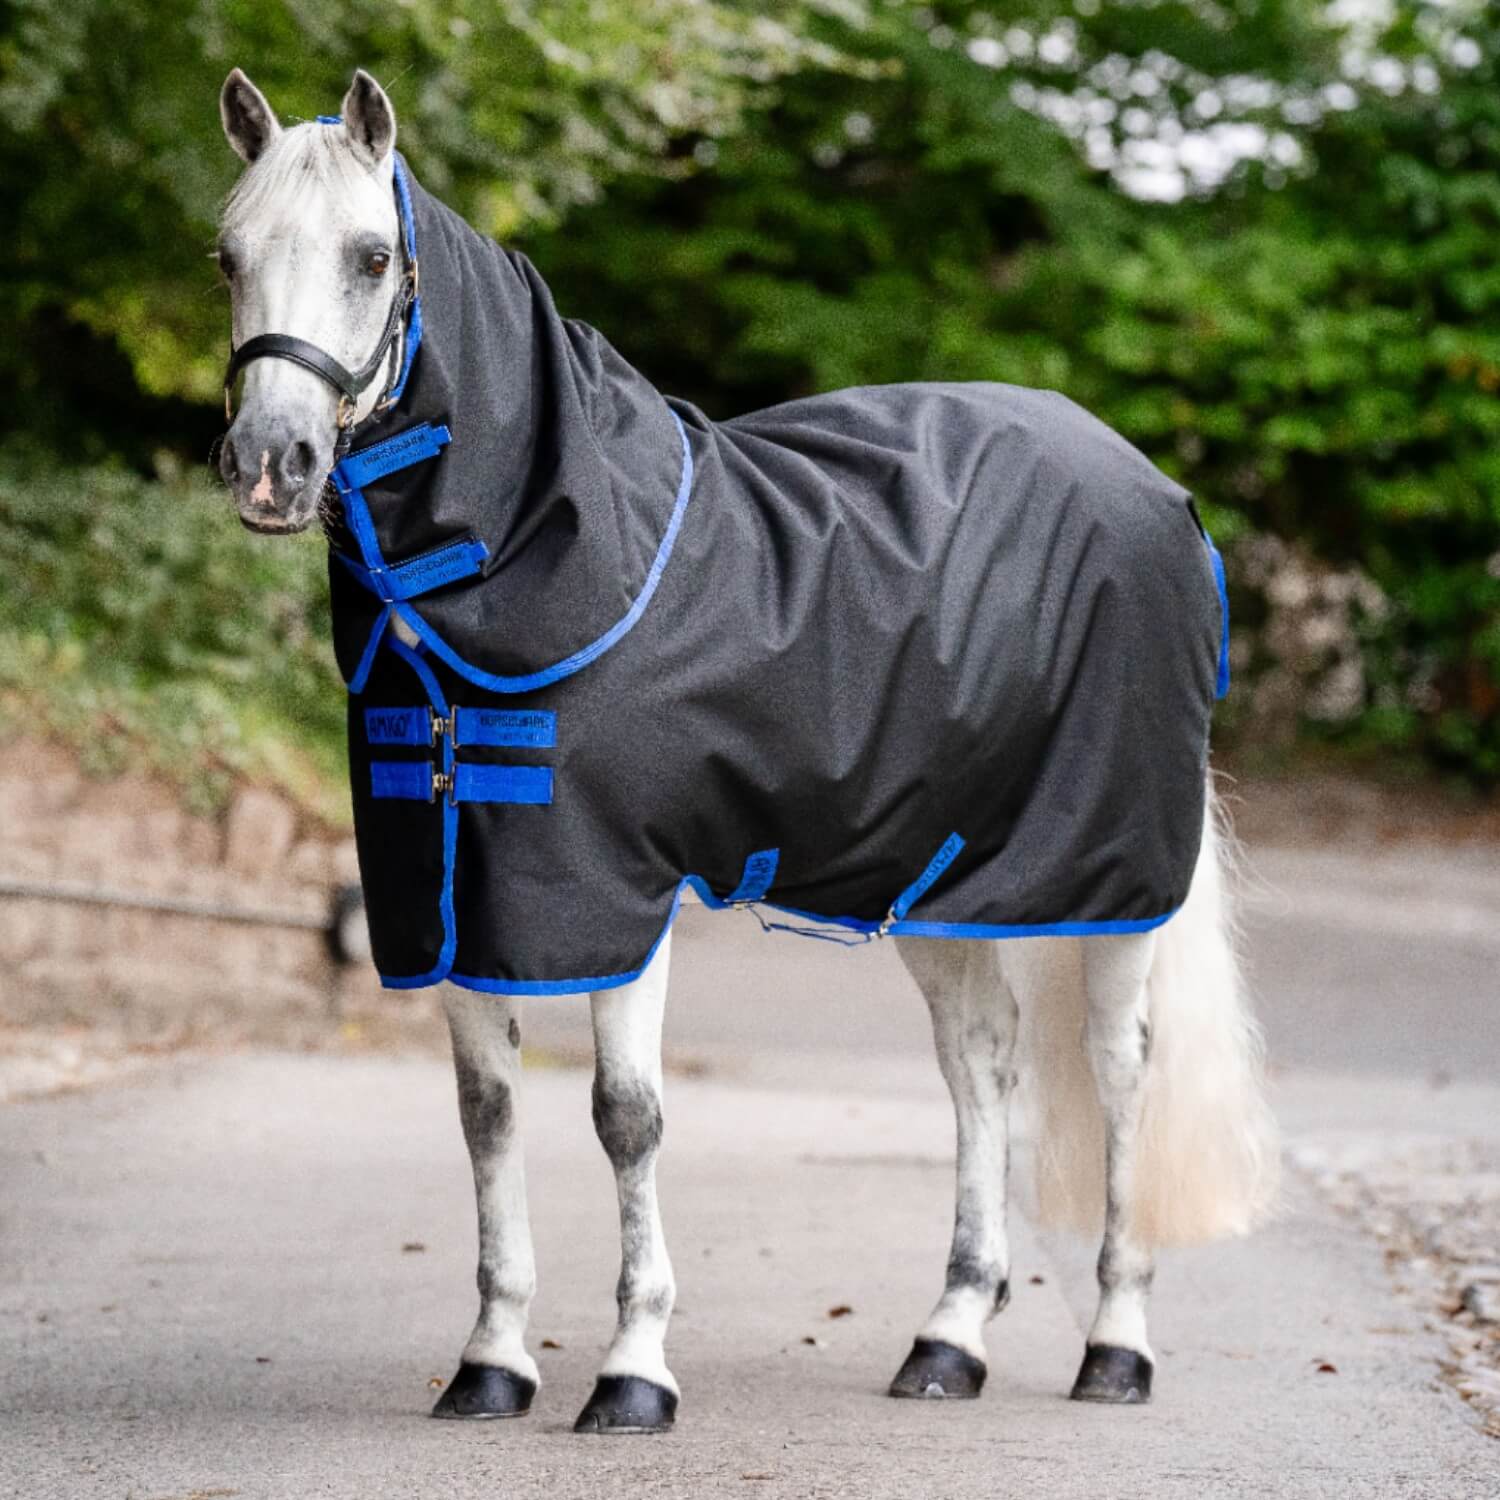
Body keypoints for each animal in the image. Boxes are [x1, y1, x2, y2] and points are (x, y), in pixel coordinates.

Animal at [213, 66, 1279, 1434]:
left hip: (1117, 879)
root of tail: (1160, 493)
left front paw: (633, 1371)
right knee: (980, 1064)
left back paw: (1117, 1345)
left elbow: (626, 1117)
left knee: (1123, 1071)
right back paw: (947, 1339)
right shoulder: (452, 894)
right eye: (227, 254)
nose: (270, 466)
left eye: (370, 255)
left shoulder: (618, 893)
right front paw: (493, 1362)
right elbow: (487, 1116)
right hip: (936, 877)